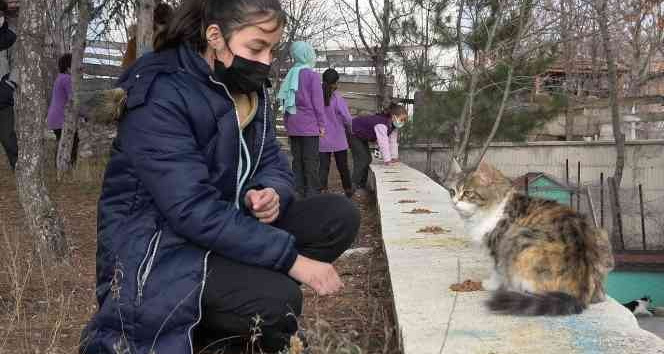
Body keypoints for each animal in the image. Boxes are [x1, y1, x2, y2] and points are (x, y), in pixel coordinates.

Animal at [444, 160, 616, 316]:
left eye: (468, 193)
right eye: (452, 192)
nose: (454, 202)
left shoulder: (499, 245)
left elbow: (497, 270)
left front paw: (490, 284)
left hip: (519, 239)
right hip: (601, 236)